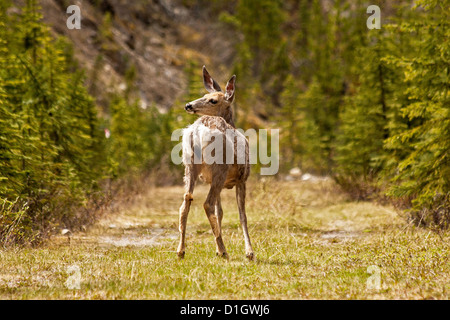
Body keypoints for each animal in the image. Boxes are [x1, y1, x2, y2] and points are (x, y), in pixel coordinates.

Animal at [176, 66, 253, 262]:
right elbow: (242, 215)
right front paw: (249, 252)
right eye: (205, 95)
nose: (188, 105)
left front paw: (217, 248)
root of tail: (198, 130)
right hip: (220, 166)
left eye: (212, 99)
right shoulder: (242, 179)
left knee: (185, 202)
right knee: (206, 204)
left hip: (190, 166)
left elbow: (220, 214)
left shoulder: (214, 180)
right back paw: (224, 251)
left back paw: (181, 250)